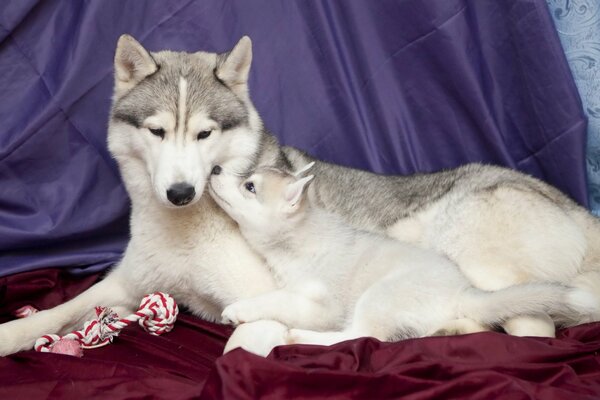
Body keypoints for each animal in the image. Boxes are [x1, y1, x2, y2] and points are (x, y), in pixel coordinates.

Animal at [210, 164, 596, 348]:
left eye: (249, 186)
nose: (214, 170)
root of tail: (462, 291)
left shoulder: (323, 303)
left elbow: (279, 301)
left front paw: (240, 310)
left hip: (384, 292)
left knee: (364, 336)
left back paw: (301, 338)